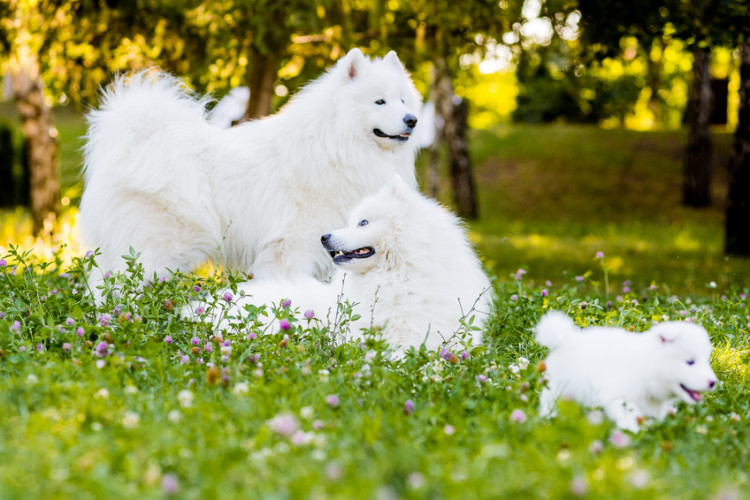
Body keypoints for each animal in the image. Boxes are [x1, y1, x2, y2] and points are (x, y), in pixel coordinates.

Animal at [82, 49, 424, 288]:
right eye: (379, 102)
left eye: (403, 100)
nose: (412, 120)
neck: (336, 144)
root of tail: (138, 139)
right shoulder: (291, 246)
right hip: (155, 249)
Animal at [536, 310, 720, 432]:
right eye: (690, 362)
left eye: (706, 360)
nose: (713, 382)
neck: (647, 367)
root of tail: (565, 338)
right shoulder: (617, 396)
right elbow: (629, 413)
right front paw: (631, 430)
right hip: (558, 386)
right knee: (549, 400)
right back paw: (548, 417)